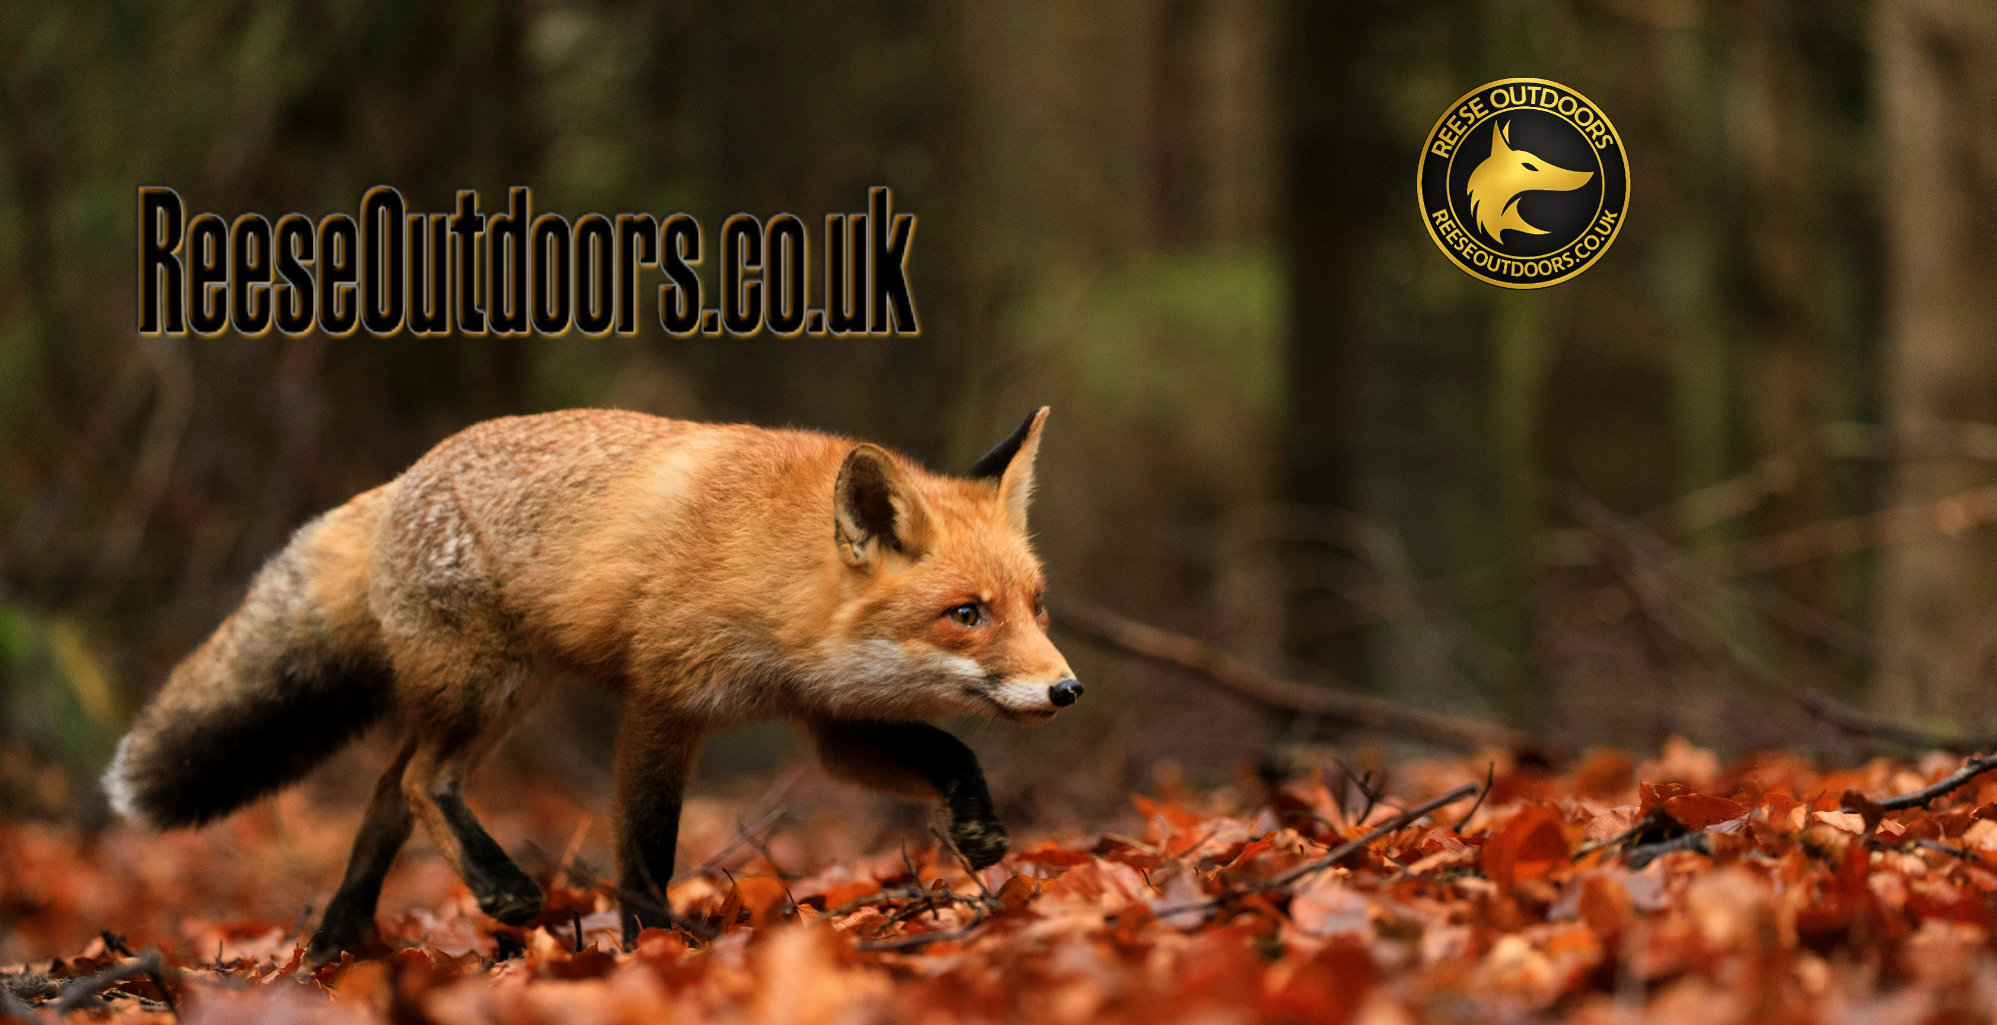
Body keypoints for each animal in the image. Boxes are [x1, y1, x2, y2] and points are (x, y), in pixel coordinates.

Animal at [102, 407, 1080, 964]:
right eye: (965, 613)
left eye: (1035, 604)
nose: (1066, 689)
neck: (774, 575)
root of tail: (400, 479)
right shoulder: (662, 698)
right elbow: (644, 847)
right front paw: (653, 948)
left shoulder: (829, 720)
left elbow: (948, 749)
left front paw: (977, 825)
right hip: (489, 686)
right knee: (417, 781)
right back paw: (497, 889)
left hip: (489, 693)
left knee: (384, 791)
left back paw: (337, 944)